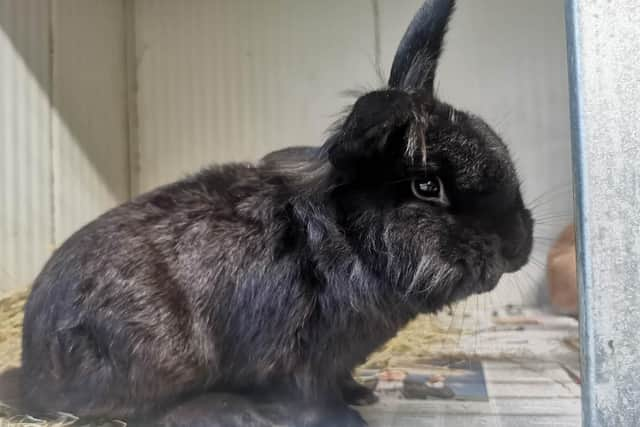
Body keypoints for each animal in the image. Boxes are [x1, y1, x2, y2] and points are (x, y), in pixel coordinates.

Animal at [20, 1, 532, 426]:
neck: (350, 242)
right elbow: (309, 398)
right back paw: (224, 410)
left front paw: (360, 395)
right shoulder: (298, 358)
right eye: (427, 187)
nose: (517, 247)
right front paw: (346, 419)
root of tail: (31, 369)